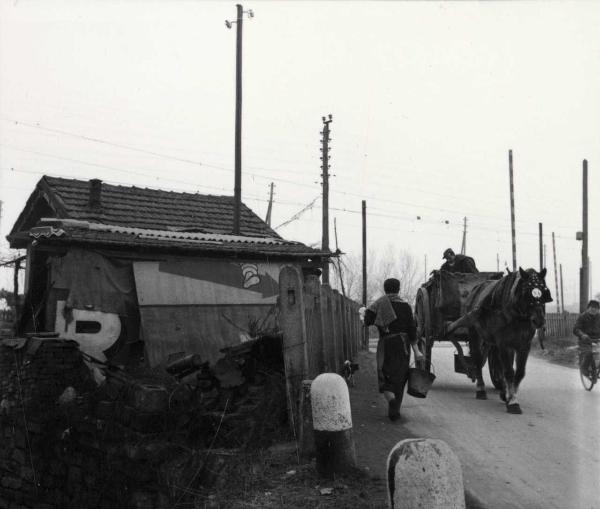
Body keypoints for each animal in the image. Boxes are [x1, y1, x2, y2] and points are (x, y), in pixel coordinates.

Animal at [464, 266, 552, 412]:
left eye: (543, 289)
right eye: (527, 291)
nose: (539, 320)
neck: (517, 315)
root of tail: (475, 289)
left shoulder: (524, 346)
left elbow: (519, 372)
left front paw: (510, 396)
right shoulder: (505, 345)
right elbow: (509, 372)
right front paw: (513, 402)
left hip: (492, 342)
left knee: (496, 363)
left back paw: (502, 391)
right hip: (474, 334)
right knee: (477, 360)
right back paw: (481, 389)